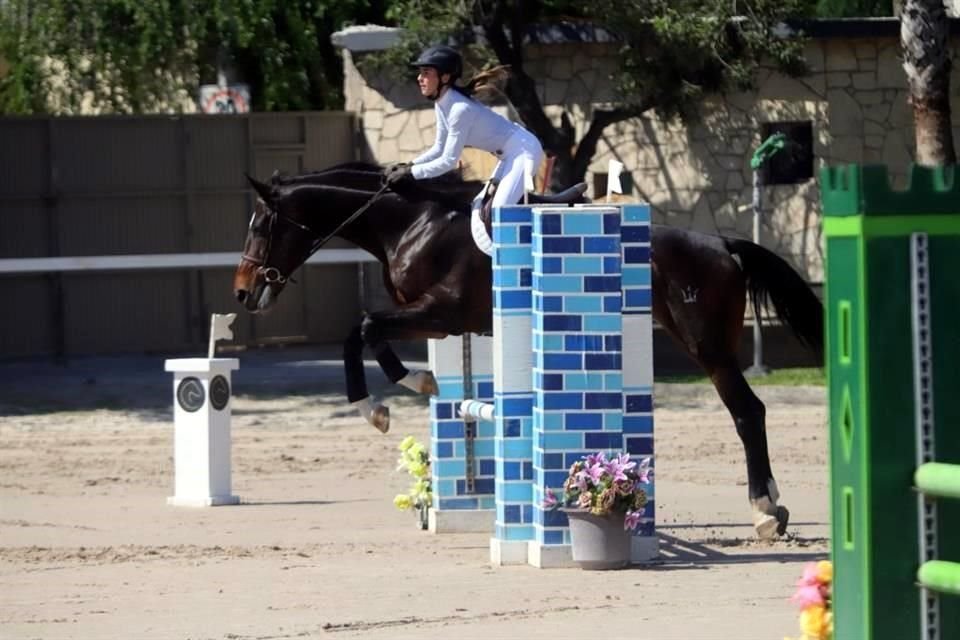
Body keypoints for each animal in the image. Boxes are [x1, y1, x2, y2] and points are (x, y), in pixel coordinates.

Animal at [234, 161, 824, 540]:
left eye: (262, 225)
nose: (242, 292)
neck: (411, 222)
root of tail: (722, 244)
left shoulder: (442, 314)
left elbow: (361, 328)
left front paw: (379, 403)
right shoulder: (439, 323)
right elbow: (368, 333)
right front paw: (413, 385)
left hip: (707, 345)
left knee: (747, 411)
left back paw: (765, 510)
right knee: (749, 410)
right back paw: (770, 508)